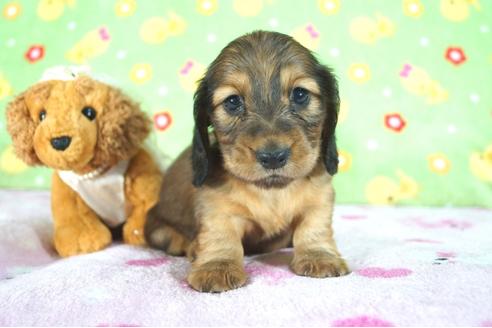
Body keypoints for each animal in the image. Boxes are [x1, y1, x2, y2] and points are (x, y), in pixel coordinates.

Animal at [146, 30, 350, 292]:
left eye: (300, 94)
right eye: (233, 101)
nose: (273, 157)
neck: (272, 191)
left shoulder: (319, 197)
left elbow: (314, 226)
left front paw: (319, 255)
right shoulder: (216, 206)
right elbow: (221, 235)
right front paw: (218, 266)